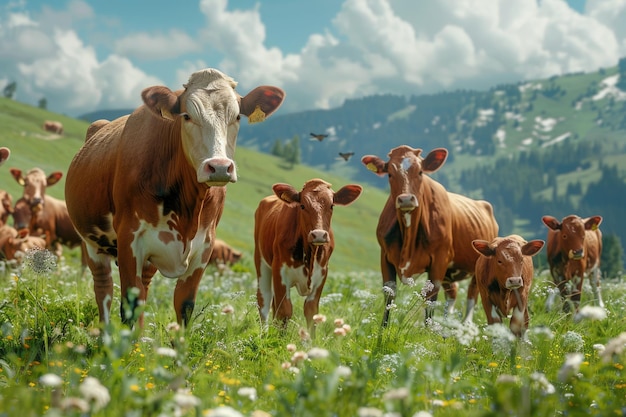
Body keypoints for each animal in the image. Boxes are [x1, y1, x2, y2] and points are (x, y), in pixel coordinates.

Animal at [64, 68, 286, 326]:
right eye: (187, 116)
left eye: (238, 117)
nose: (220, 167)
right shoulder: (129, 239)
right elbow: (129, 305)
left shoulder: (204, 247)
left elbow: (184, 306)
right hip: (92, 243)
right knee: (104, 289)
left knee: (143, 289)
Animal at [254, 177, 360, 336]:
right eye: (302, 206)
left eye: (332, 206)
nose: (319, 234)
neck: (310, 253)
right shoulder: (280, 271)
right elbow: (284, 311)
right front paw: (279, 340)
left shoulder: (322, 274)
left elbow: (312, 312)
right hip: (261, 261)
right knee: (264, 299)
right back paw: (263, 334)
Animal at [360, 145, 498, 324]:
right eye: (389, 173)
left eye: (420, 172)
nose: (406, 199)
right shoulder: (385, 256)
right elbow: (389, 294)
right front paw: (383, 328)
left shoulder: (439, 259)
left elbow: (430, 299)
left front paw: (427, 329)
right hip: (449, 272)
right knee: (452, 292)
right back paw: (447, 322)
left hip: (478, 264)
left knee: (472, 295)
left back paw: (466, 324)